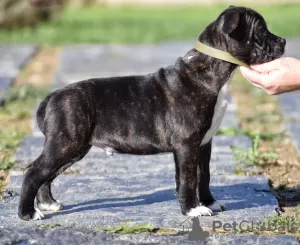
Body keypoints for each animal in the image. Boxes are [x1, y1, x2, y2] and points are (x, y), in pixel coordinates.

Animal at [17, 5, 284, 221]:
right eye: (261, 31)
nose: (283, 41)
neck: (211, 68)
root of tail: (52, 97)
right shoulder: (187, 144)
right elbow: (189, 178)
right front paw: (192, 210)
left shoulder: (203, 144)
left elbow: (203, 175)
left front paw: (209, 202)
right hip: (66, 143)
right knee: (34, 171)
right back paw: (28, 213)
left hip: (73, 148)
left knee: (46, 173)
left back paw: (48, 204)